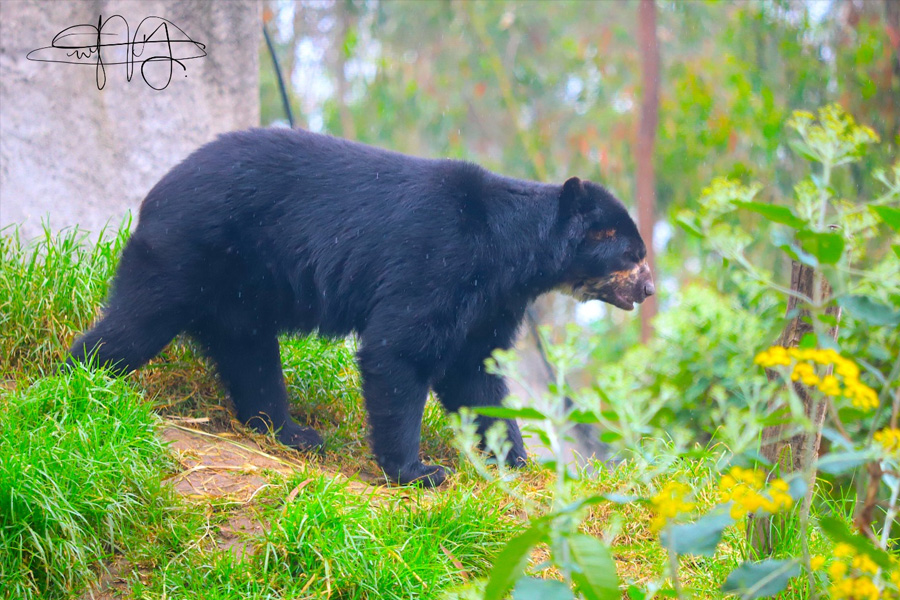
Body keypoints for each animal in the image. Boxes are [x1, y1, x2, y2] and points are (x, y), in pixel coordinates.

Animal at [69, 128, 655, 487]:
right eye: (632, 255)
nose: (648, 290)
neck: (510, 255)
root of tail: (155, 192)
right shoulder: (438, 261)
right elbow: (399, 350)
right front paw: (419, 471)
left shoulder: (490, 300)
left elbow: (474, 375)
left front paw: (516, 460)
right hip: (188, 253)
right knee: (134, 324)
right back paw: (84, 381)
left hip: (240, 292)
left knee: (250, 358)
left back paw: (294, 434)